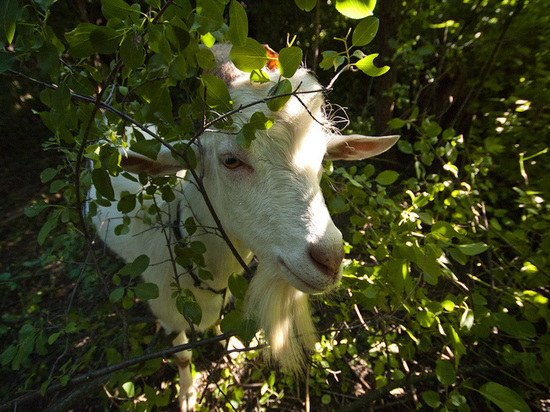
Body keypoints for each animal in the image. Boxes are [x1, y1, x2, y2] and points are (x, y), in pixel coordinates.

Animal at [90, 43, 402, 410]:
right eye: (230, 160)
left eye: (324, 158)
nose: (330, 259)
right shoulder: (168, 312)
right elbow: (182, 357)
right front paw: (187, 396)